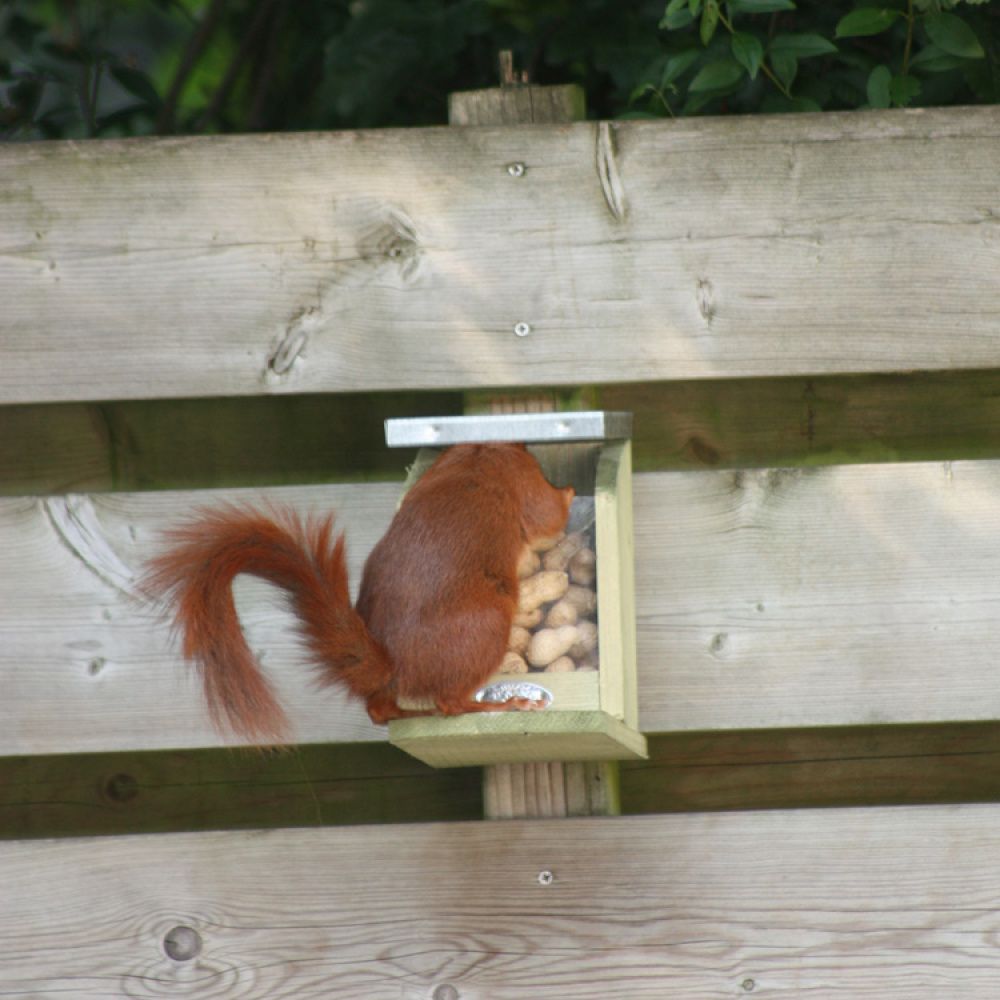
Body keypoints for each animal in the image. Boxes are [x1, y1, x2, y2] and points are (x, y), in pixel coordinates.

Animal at [145, 444, 576, 744]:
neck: (476, 451)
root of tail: (394, 664)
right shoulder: (521, 475)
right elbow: (548, 513)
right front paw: (570, 491)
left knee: (380, 711)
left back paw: (406, 715)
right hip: (486, 628)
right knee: (450, 704)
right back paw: (504, 703)